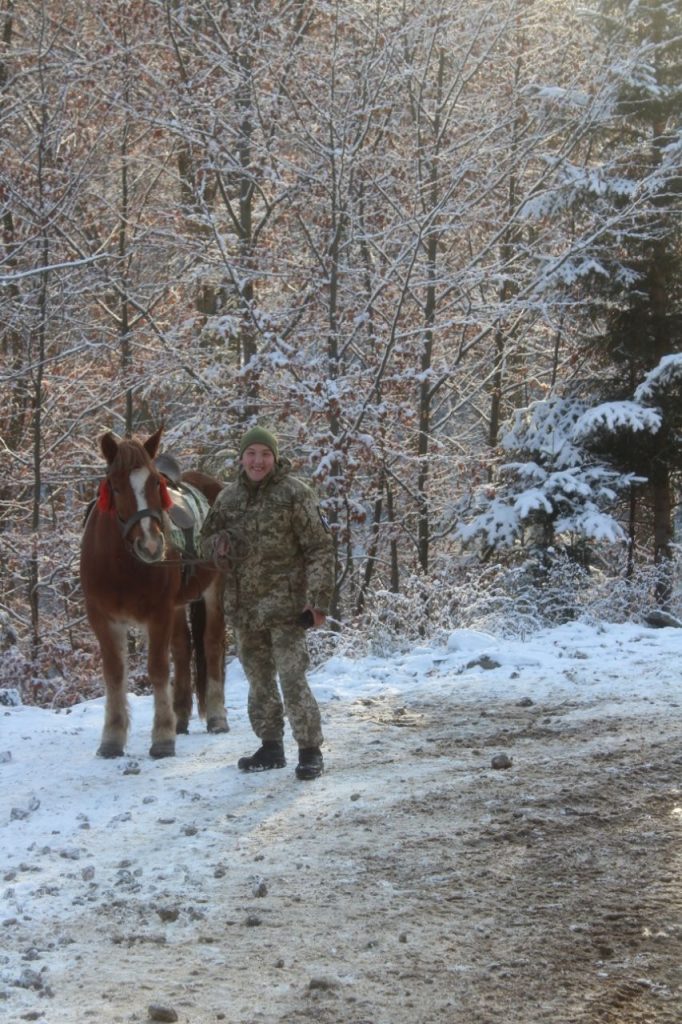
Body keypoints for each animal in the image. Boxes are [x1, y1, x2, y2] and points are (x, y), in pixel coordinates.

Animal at [79, 425, 228, 761]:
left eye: (154, 483)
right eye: (115, 487)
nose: (151, 545)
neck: (121, 564)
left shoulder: (157, 614)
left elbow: (158, 670)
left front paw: (162, 737)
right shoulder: (103, 620)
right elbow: (114, 675)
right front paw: (112, 738)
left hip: (214, 591)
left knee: (211, 646)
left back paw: (216, 717)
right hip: (177, 606)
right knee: (184, 650)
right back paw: (181, 717)